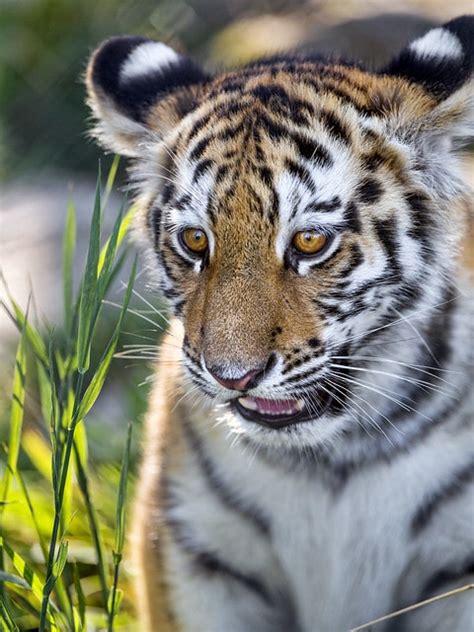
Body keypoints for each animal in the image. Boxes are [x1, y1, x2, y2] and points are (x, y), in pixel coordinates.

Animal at [86, 17, 474, 632]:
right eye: (194, 240)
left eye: (310, 241)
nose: (232, 376)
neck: (333, 457)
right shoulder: (199, 554)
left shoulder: (459, 565)